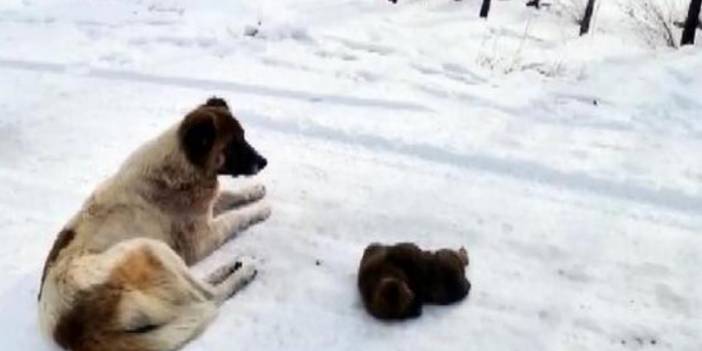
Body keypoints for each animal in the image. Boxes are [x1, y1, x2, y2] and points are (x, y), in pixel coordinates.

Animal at [35, 97, 274, 351]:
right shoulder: (202, 238)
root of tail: (77, 333)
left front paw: (255, 191)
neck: (181, 166)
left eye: (244, 137)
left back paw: (230, 267)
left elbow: (231, 196)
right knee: (209, 297)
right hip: (151, 248)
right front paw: (261, 211)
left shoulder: (205, 210)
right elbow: (236, 218)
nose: (264, 162)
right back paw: (244, 272)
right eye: (233, 144)